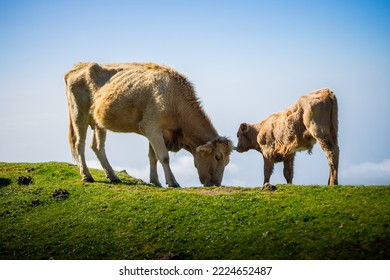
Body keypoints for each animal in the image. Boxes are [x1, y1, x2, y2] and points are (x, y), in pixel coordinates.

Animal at [65, 62, 233, 187]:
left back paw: (113, 176)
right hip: (79, 114)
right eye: (218, 157)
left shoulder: (155, 132)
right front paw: (172, 182)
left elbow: (153, 157)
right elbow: (164, 157)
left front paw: (156, 181)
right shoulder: (152, 128)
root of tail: (78, 66)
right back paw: (87, 176)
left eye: (227, 161)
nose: (216, 184)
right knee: (80, 144)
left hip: (98, 122)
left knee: (97, 146)